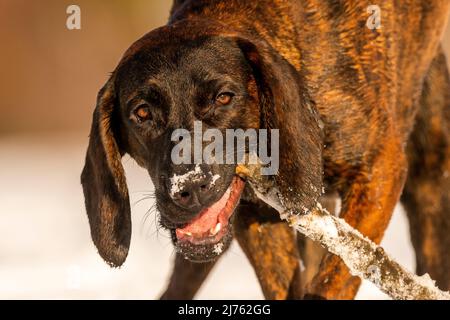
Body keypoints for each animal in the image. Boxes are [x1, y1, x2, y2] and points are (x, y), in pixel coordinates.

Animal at [81, 0, 450, 300]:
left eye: (223, 97)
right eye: (142, 113)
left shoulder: (378, 170)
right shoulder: (255, 216)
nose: (190, 187)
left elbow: (337, 274)